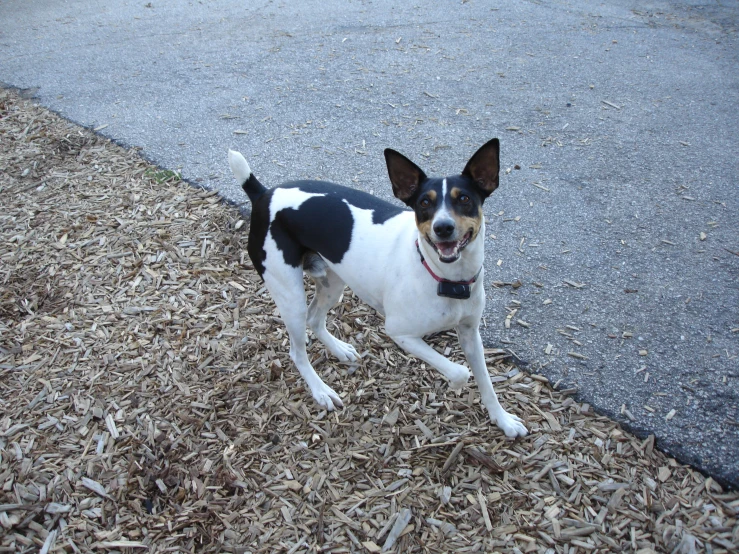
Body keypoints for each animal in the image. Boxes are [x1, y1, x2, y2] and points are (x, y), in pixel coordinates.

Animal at [228, 139, 528, 436]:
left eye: (464, 199)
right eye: (424, 203)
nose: (443, 227)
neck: (444, 278)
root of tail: (264, 194)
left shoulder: (469, 332)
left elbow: (486, 381)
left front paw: (503, 420)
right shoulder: (401, 334)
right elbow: (460, 372)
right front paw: (455, 384)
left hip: (333, 282)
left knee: (315, 318)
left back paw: (340, 350)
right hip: (290, 296)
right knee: (297, 350)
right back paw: (321, 390)